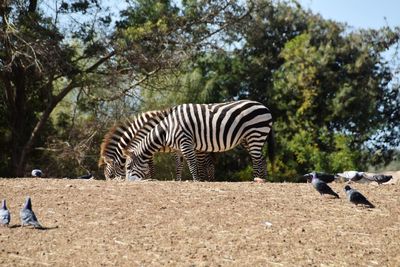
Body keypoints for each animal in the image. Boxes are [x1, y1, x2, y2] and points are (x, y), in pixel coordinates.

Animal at [124, 100, 276, 182]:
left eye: (128, 167)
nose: (126, 183)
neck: (167, 129)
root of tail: (265, 107)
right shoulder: (178, 148)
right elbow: (178, 166)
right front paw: (179, 181)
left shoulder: (186, 142)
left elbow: (192, 163)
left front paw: (197, 181)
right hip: (248, 138)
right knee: (261, 158)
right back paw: (263, 179)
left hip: (255, 133)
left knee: (257, 159)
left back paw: (256, 180)